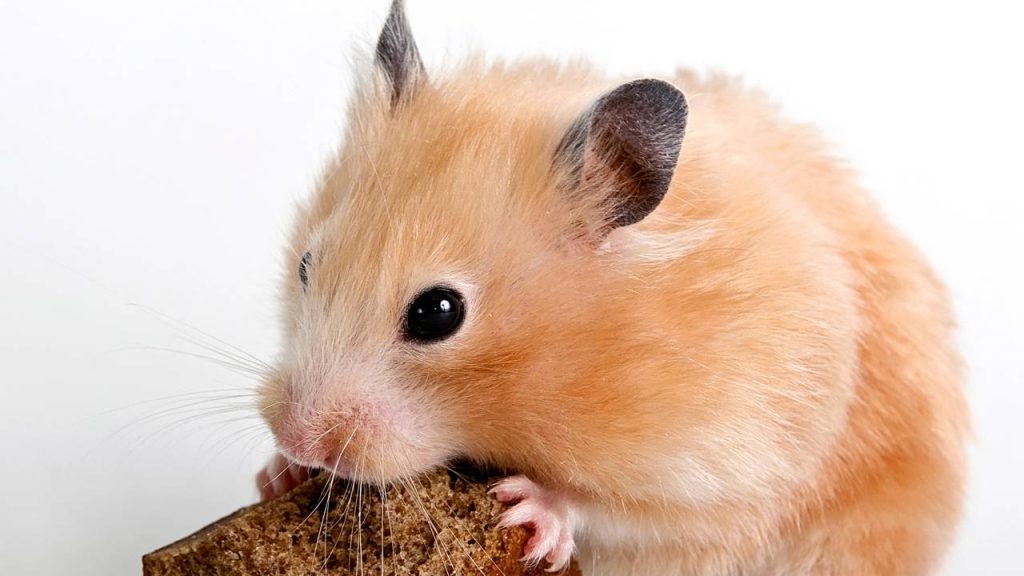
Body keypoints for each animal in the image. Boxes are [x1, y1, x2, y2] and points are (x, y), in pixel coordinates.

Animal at [256, 1, 969, 574]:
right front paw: (277, 474)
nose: (296, 437)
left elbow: (624, 512)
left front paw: (531, 510)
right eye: (306, 266)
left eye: (438, 312)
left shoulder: (733, 469)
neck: (578, 360)